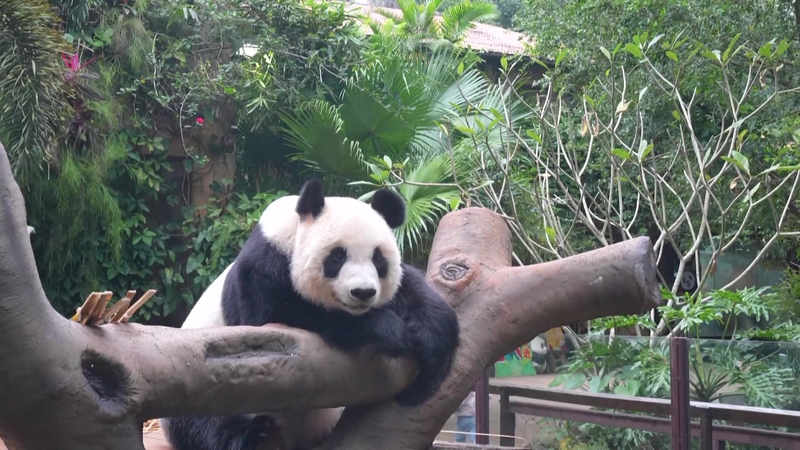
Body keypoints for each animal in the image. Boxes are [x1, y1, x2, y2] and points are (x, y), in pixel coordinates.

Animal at [160, 178, 460, 450]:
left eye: (378, 259)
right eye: (337, 256)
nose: (363, 293)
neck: (293, 231)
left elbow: (412, 291)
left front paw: (433, 341)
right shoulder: (262, 266)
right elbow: (278, 317)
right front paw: (390, 331)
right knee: (203, 419)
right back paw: (250, 435)